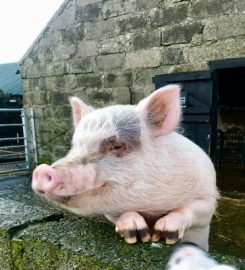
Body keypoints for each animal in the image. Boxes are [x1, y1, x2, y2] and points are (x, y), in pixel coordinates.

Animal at [32, 85, 218, 251]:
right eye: (74, 146)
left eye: (117, 146)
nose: (41, 170)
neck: (152, 208)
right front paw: (136, 234)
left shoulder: (209, 194)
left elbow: (194, 209)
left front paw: (164, 234)